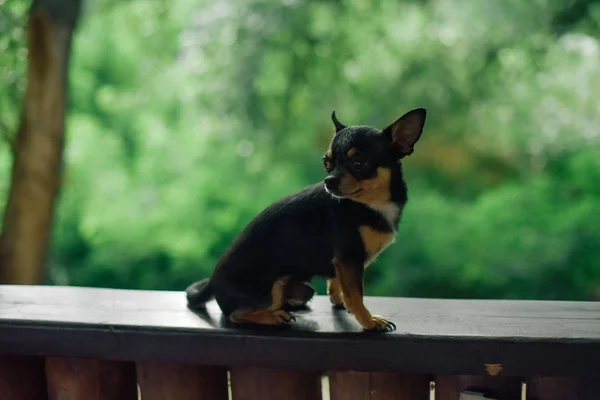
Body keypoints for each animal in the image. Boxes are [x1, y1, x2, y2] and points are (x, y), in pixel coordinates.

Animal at [188, 108, 426, 332]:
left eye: (359, 162)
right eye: (327, 162)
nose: (329, 181)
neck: (369, 204)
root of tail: (211, 282)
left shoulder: (341, 263)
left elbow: (337, 283)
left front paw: (339, 301)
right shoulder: (349, 259)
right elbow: (356, 295)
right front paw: (368, 321)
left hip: (304, 288)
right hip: (269, 289)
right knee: (235, 314)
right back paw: (272, 316)